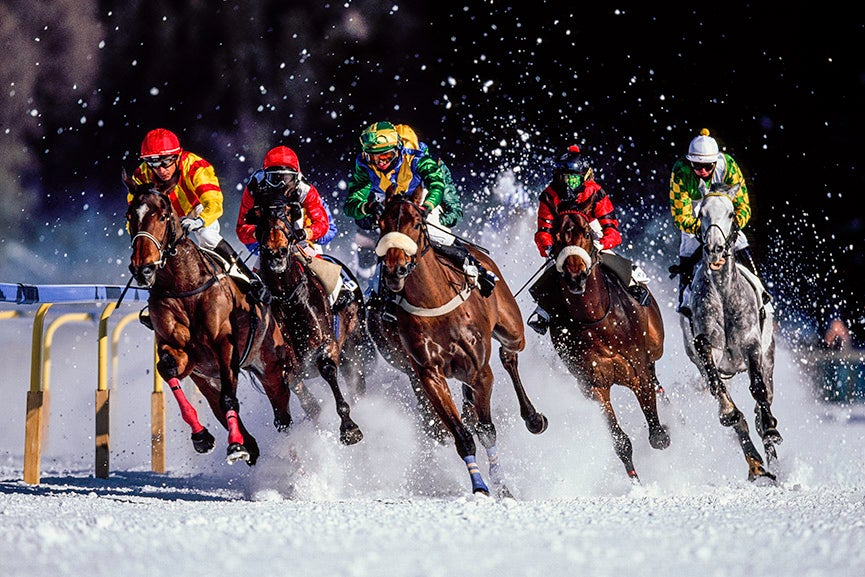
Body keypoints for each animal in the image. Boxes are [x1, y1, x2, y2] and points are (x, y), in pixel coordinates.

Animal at [123, 178, 302, 466]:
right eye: (130, 217)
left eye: (162, 216)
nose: (143, 268)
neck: (184, 285)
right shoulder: (184, 356)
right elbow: (168, 369)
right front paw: (202, 437)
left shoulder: (224, 347)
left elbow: (230, 398)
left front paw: (235, 446)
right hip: (208, 378)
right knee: (218, 405)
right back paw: (250, 445)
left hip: (271, 364)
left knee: (282, 415)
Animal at [245, 182, 370, 444]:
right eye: (257, 215)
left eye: (289, 212)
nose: (276, 252)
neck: (288, 298)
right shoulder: (281, 364)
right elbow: (302, 395)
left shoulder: (328, 344)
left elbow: (326, 367)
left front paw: (349, 428)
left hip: (354, 344)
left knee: (356, 379)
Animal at [372, 189, 548, 496]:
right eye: (382, 224)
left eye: (416, 223)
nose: (395, 270)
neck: (434, 302)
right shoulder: (429, 373)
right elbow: (462, 436)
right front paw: (479, 486)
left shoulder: (480, 371)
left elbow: (486, 430)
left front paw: (502, 486)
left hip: (513, 329)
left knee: (509, 356)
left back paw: (533, 417)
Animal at [544, 209, 672, 480]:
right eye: (555, 238)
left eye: (587, 233)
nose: (575, 277)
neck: (595, 319)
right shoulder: (594, 385)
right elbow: (621, 442)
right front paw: (636, 481)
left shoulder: (638, 371)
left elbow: (658, 436)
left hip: (655, 342)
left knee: (656, 375)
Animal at [680, 182, 784, 480]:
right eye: (701, 213)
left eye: (730, 213)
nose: (715, 249)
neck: (725, 295)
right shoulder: (707, 348)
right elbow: (717, 386)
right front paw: (728, 413)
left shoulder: (752, 345)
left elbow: (758, 389)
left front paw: (771, 429)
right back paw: (756, 464)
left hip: (769, 357)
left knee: (763, 402)